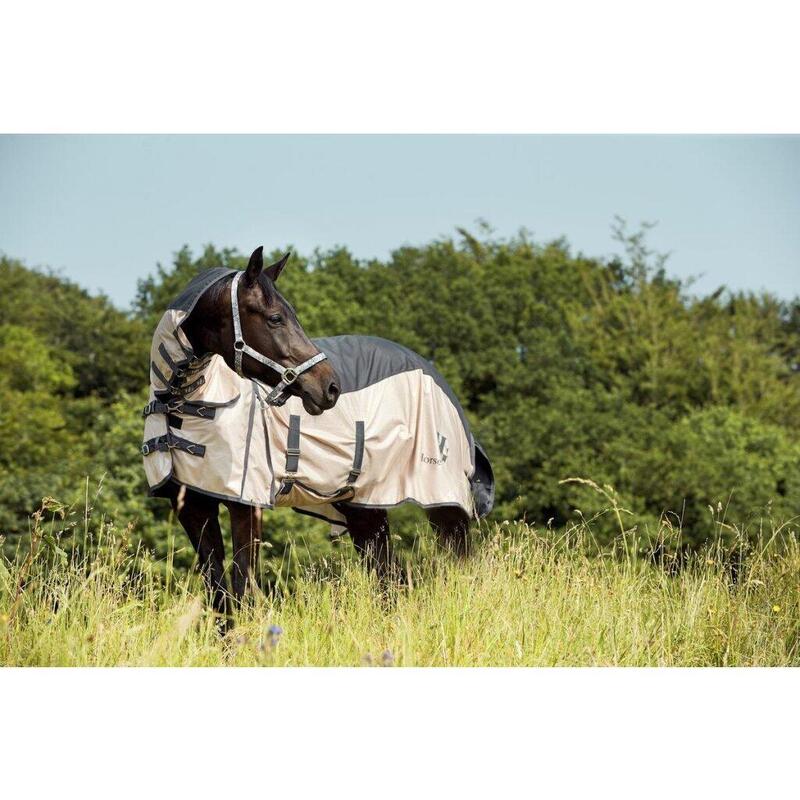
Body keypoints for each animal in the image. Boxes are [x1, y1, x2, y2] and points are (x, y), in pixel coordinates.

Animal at [144, 245, 494, 620]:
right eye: (275, 318)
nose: (330, 387)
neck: (187, 402)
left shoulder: (246, 505)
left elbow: (242, 591)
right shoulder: (193, 508)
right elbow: (220, 596)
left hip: (444, 504)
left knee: (458, 569)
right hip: (365, 507)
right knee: (389, 578)